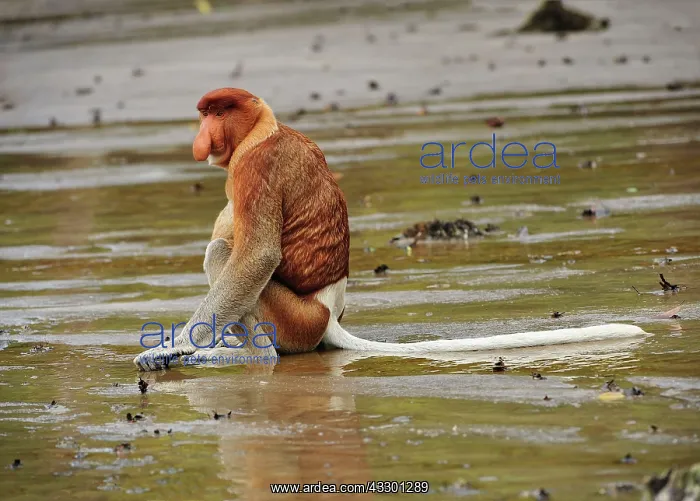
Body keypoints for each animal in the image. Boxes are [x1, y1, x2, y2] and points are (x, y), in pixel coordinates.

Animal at [133, 88, 646, 371]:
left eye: (217, 112)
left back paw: (252, 357)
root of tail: (329, 313)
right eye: (204, 113)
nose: (201, 134)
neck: (263, 129)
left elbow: (256, 255)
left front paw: (174, 346)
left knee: (222, 253)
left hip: (294, 319)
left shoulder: (254, 168)